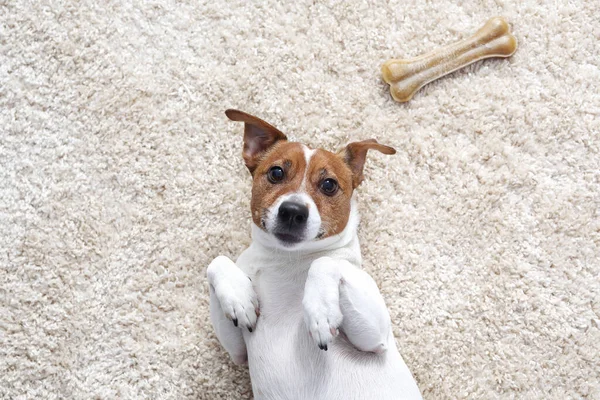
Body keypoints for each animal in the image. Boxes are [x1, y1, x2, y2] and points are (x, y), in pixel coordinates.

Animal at [206, 109, 422, 400]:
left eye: (329, 184)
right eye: (276, 172)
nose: (293, 211)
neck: (286, 259)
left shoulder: (375, 339)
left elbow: (324, 261)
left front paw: (320, 312)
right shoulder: (237, 352)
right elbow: (217, 261)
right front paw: (239, 298)